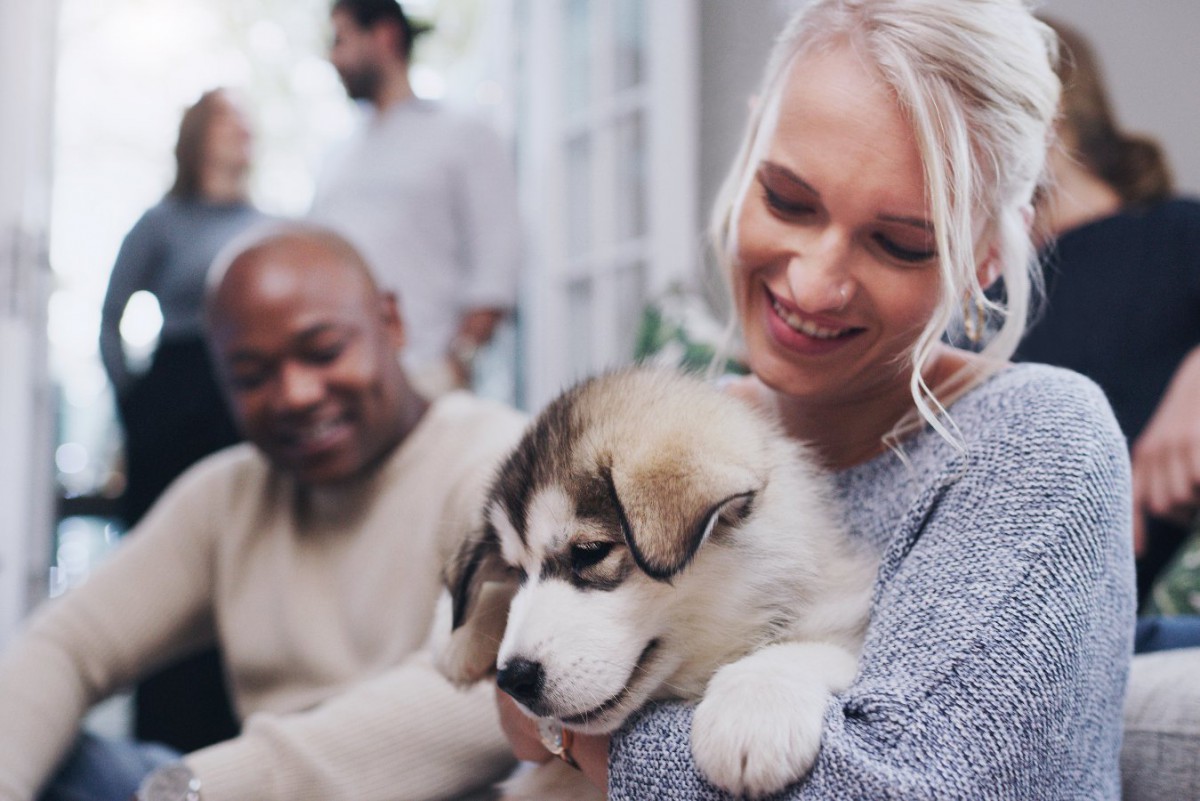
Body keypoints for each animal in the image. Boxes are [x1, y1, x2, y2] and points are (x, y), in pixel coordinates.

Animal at [439, 366, 873, 796]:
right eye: (516, 571)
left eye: (590, 551)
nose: (513, 679)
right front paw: (461, 638)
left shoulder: (841, 613)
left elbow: (807, 647)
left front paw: (753, 712)